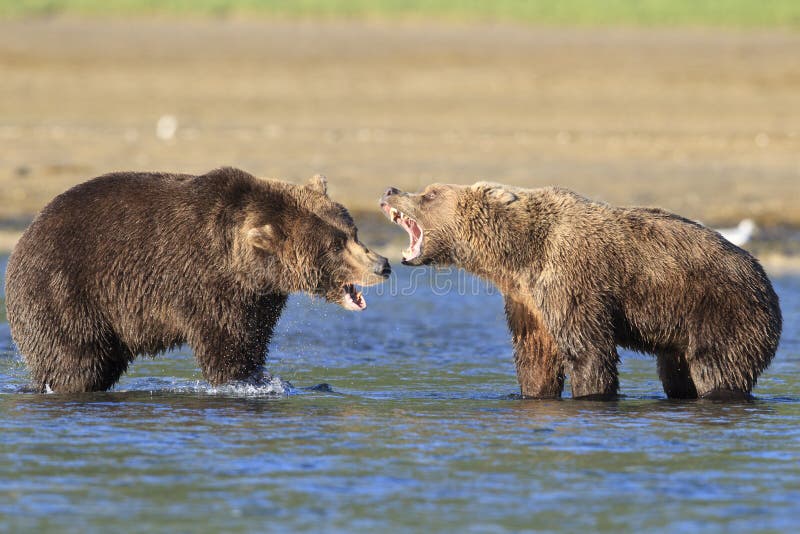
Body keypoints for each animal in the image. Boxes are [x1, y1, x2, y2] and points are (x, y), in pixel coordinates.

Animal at [6, 168, 390, 394]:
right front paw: (244, 380)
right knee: (76, 362)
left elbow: (254, 336)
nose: (382, 265)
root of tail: (24, 238)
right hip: (66, 292)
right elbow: (226, 342)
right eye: (335, 245)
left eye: (352, 231)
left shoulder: (257, 296)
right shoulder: (205, 283)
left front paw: (263, 376)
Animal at [382, 182, 780, 400]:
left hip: (721, 311)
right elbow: (536, 355)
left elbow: (588, 350)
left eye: (430, 193)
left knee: (716, 369)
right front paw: (535, 391)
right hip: (680, 332)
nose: (390, 190)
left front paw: (591, 392)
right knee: (676, 373)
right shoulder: (527, 298)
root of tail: (765, 280)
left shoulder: (571, 280)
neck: (519, 254)